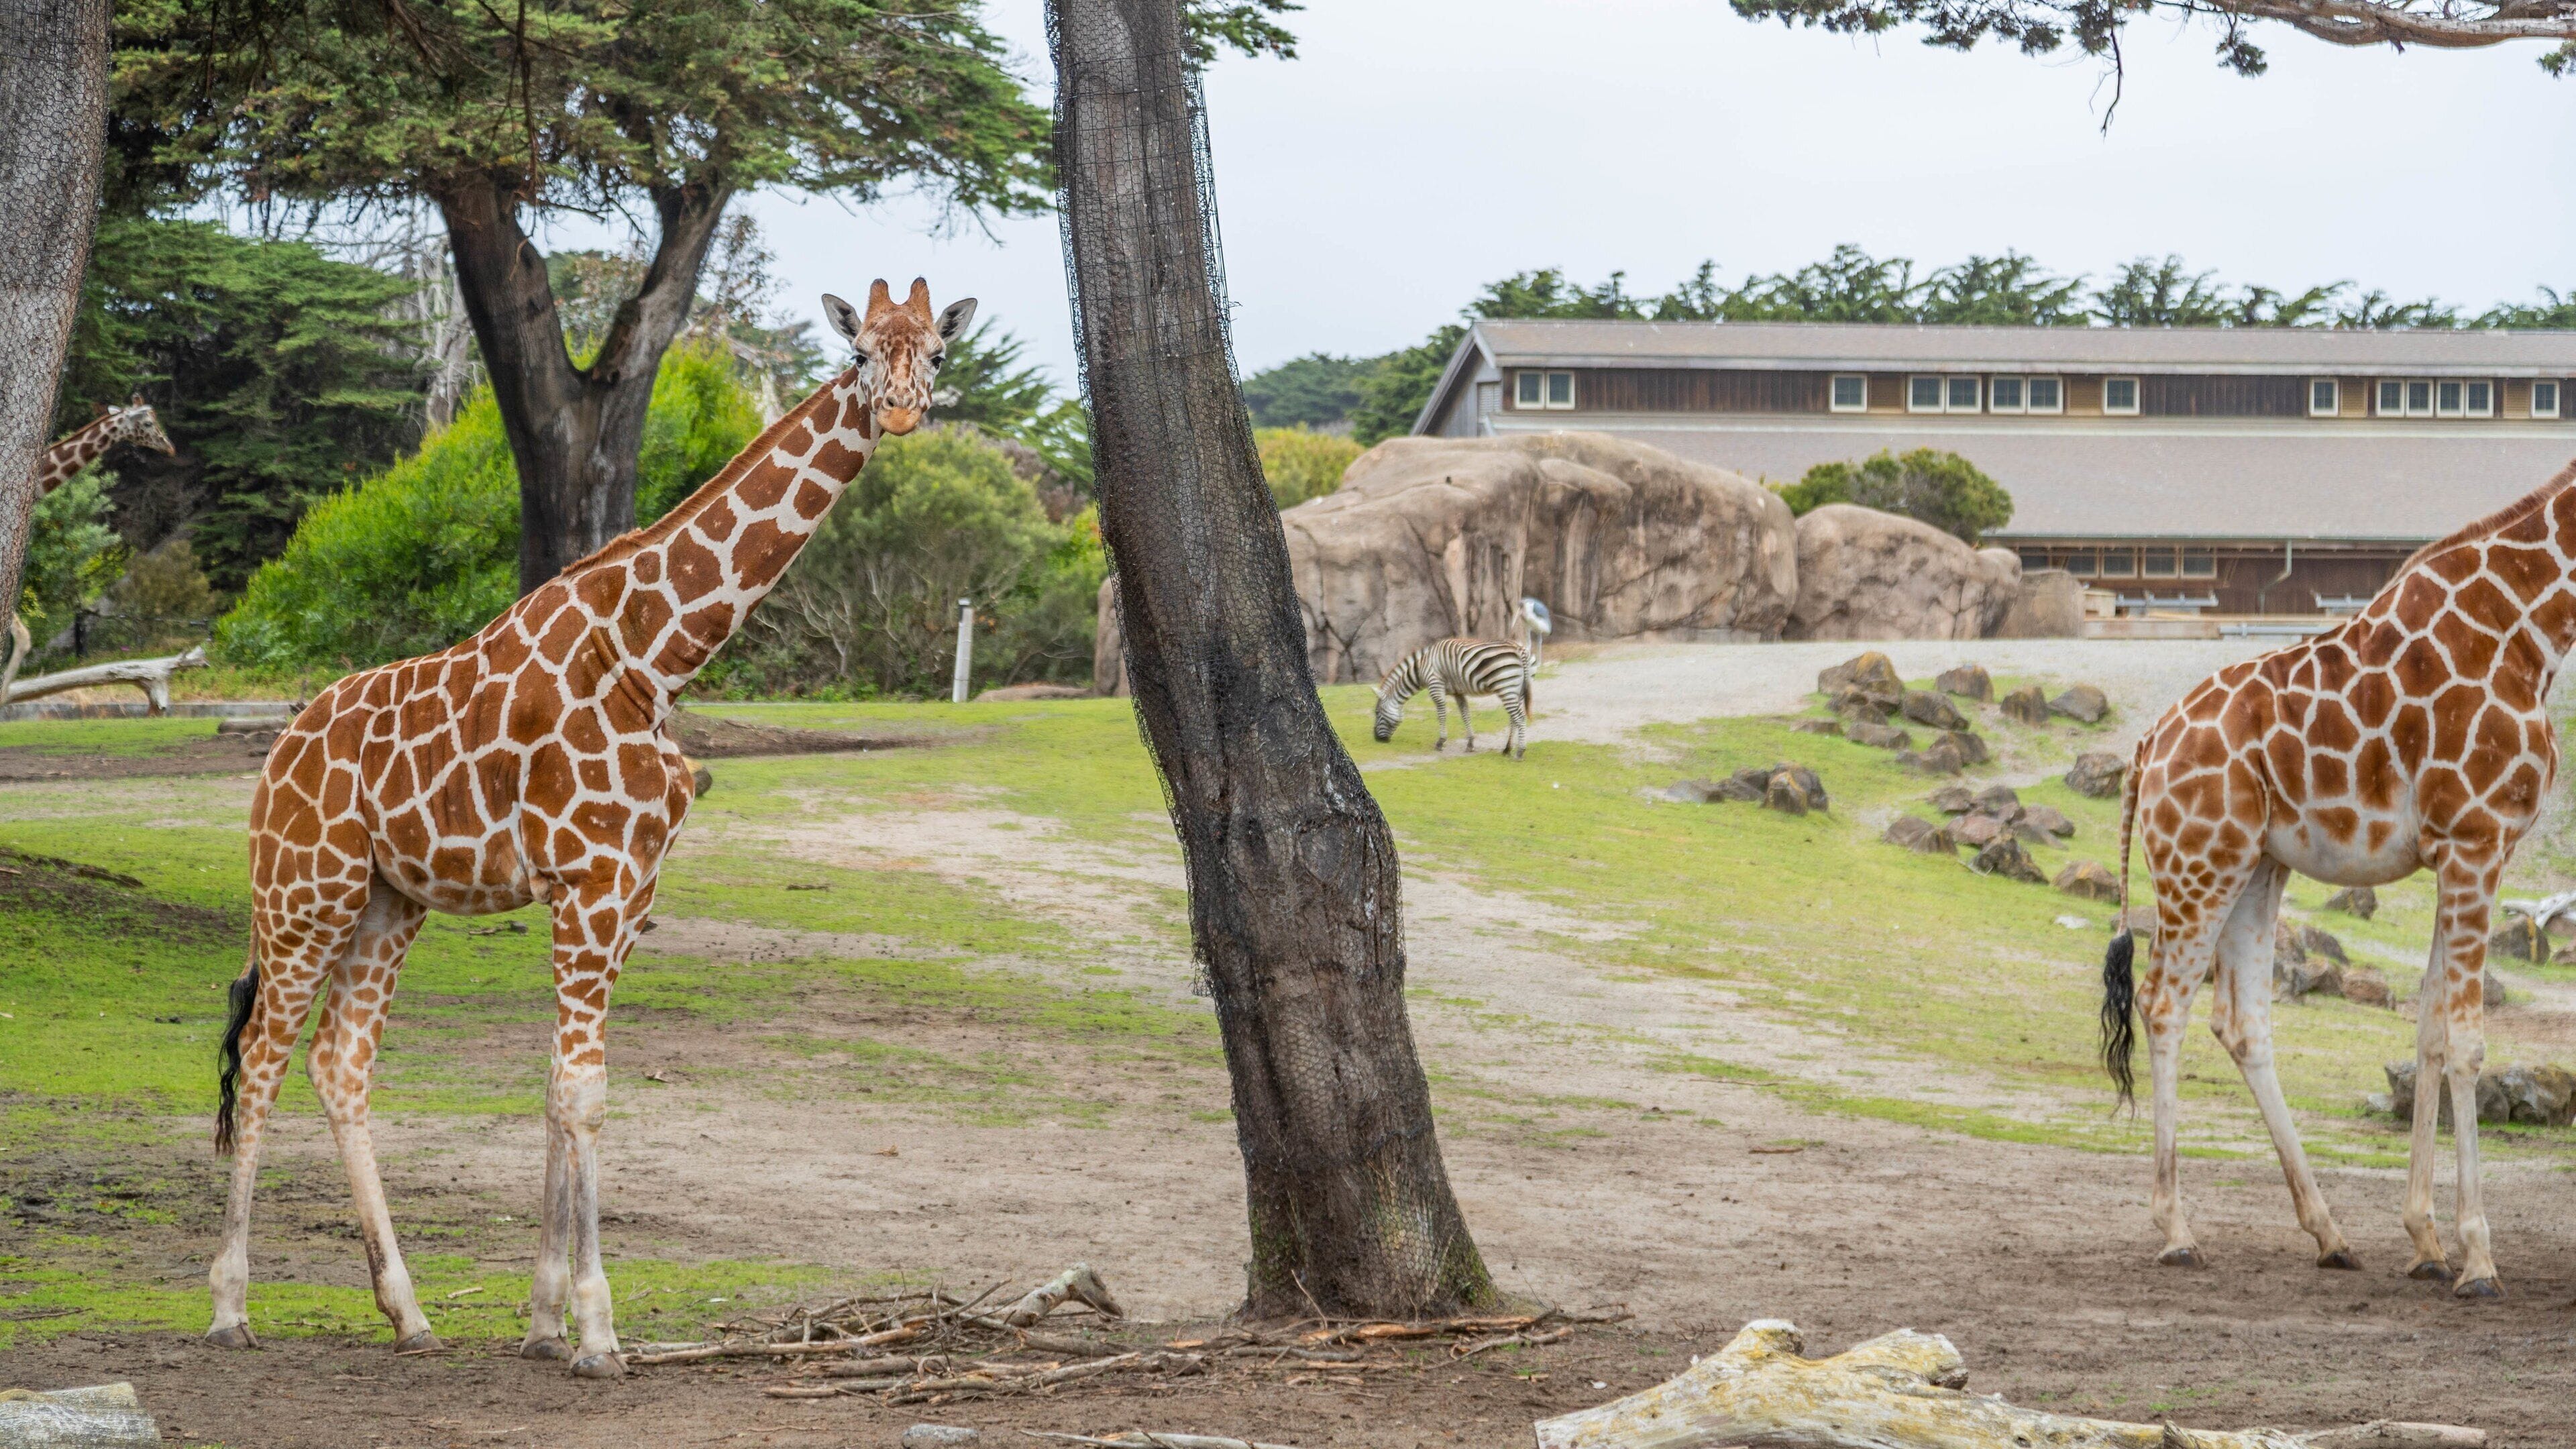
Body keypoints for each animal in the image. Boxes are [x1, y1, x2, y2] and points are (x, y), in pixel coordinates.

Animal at [205, 279, 975, 1376]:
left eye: (937, 355)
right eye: (863, 350)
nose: (904, 411)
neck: (655, 657)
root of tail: (275, 757)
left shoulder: (626, 891)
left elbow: (556, 1091)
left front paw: (541, 1321)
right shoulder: (592, 882)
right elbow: (585, 1095)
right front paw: (598, 1332)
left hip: (387, 902)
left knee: (337, 1063)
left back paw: (409, 1311)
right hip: (303, 892)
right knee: (265, 1059)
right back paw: (230, 1307)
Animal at [1371, 637, 1532, 759]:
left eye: (1377, 713)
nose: (1377, 739)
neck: (1422, 667)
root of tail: (1520, 649)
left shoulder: (1436, 685)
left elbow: (1441, 714)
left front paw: (1440, 742)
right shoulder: (1458, 692)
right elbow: (1465, 714)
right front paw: (1470, 744)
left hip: (1506, 687)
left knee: (1520, 718)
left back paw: (1520, 752)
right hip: (1516, 690)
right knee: (1513, 719)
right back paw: (1507, 749)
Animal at [2100, 459, 2576, 1301]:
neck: (2533, 625)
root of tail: (2147, 746)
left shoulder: (2455, 853)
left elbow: (2427, 1032)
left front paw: (2425, 1243)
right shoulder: (2478, 840)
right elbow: (2467, 1041)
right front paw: (2478, 1259)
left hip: (2257, 867)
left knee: (2242, 1022)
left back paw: (2330, 1234)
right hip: (2199, 862)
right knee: (2164, 1005)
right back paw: (2179, 1231)